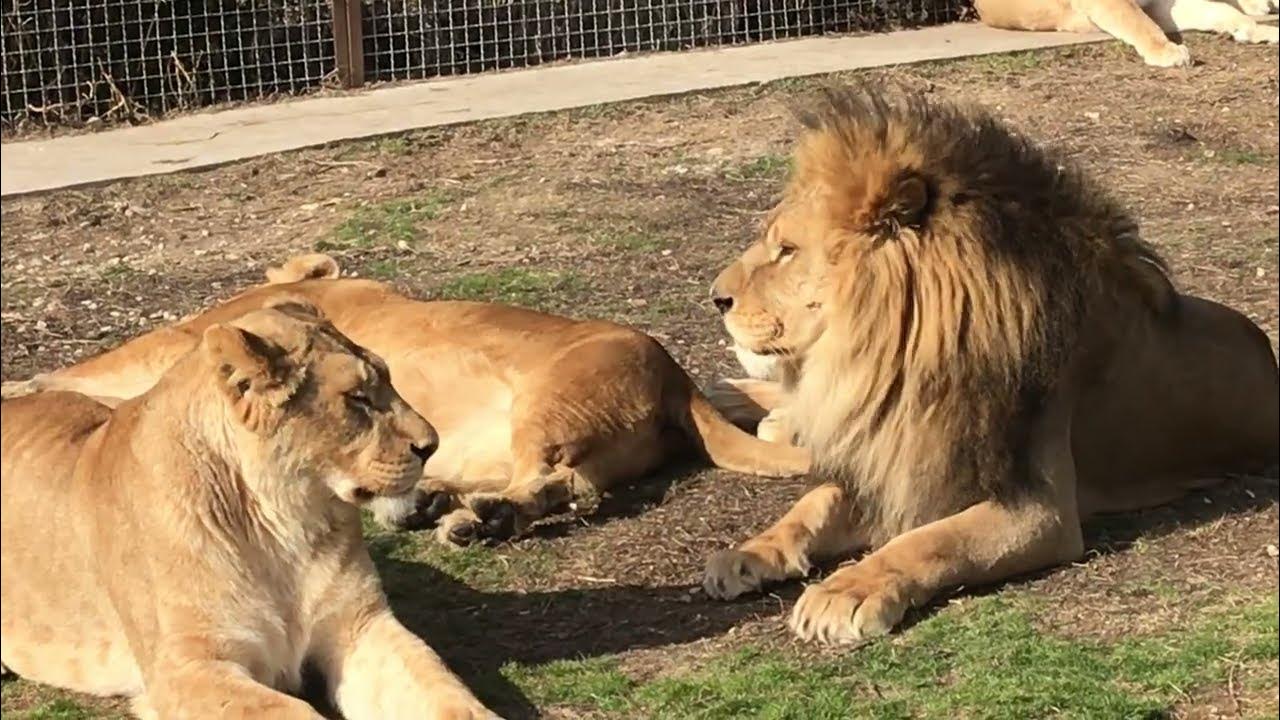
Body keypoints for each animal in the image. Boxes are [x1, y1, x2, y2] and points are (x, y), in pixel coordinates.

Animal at [1, 299, 499, 712]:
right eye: (356, 398)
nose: (432, 445)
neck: (283, 524)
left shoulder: (360, 626)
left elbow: (444, 690)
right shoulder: (188, 668)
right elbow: (292, 712)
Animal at [2, 254, 808, 540]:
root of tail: (677, 376)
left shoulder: (181, 343)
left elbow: (83, 375)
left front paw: (23, 384)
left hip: (548, 403)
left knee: (554, 482)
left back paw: (468, 519)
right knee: (572, 490)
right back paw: (446, 509)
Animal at [701, 85, 1280, 645]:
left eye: (787, 250)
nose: (716, 297)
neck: (893, 364)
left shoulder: (1039, 510)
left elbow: (929, 541)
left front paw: (844, 593)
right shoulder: (895, 457)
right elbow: (815, 503)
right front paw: (750, 553)